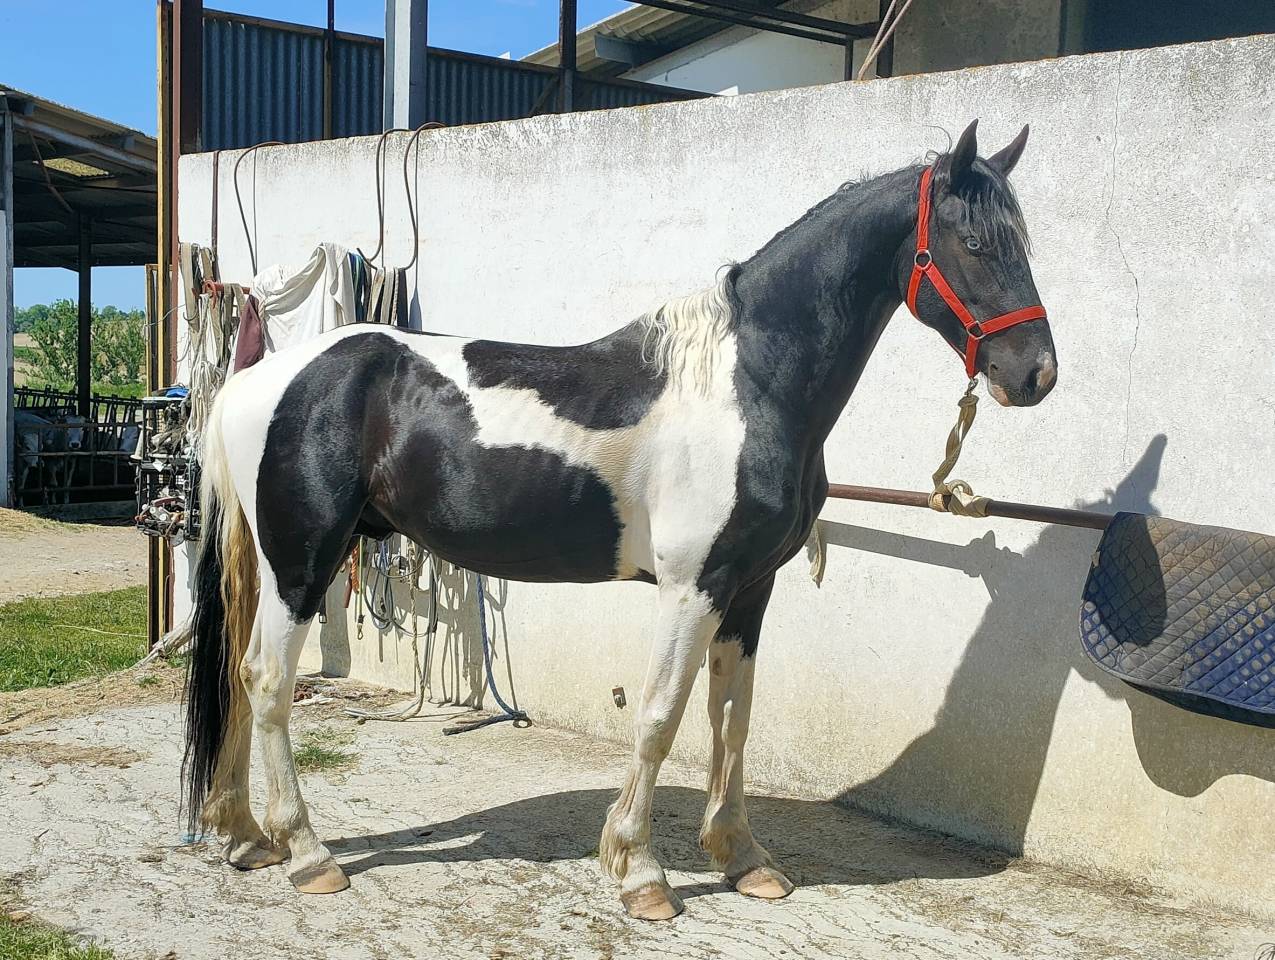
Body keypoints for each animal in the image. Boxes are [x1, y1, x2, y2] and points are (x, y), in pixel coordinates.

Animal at [183, 120, 1057, 920]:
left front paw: (743, 860)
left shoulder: (748, 591)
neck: (747, 387)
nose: (1036, 374)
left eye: (1021, 244)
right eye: (973, 243)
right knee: (266, 681)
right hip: (302, 561)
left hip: (275, 564)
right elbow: (660, 716)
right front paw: (641, 873)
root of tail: (261, 380)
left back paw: (245, 836)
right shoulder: (691, 586)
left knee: (237, 677)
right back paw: (307, 853)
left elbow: (730, 721)